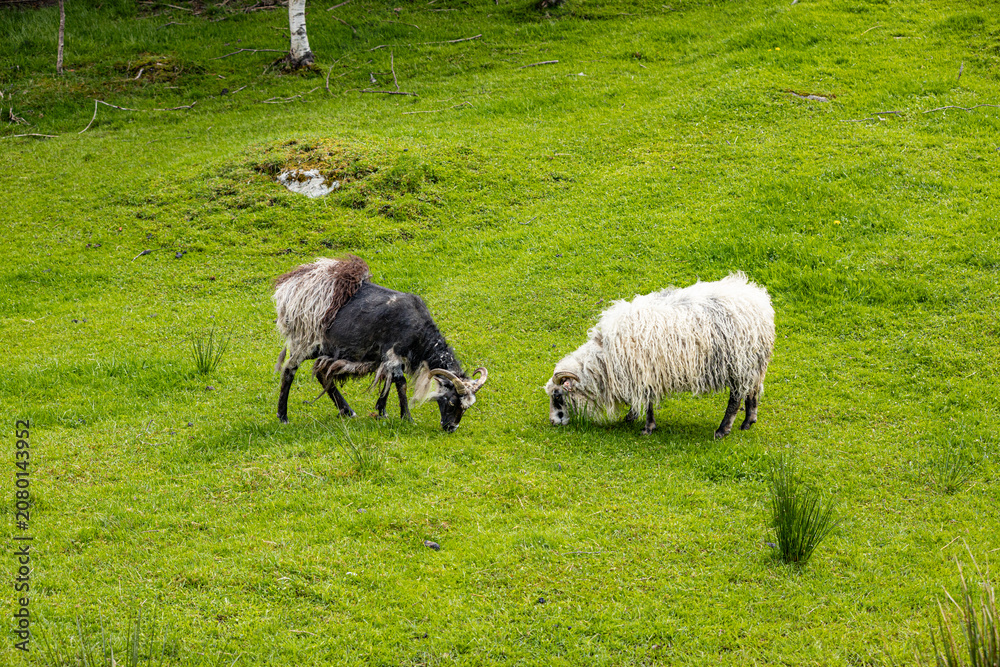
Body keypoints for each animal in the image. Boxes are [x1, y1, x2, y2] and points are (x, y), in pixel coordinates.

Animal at [544, 272, 775, 439]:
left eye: (557, 395)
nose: (553, 422)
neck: (604, 361)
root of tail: (759, 300)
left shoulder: (644, 373)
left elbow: (647, 403)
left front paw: (647, 427)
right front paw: (631, 416)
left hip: (738, 363)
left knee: (735, 399)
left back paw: (723, 430)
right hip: (752, 364)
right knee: (752, 392)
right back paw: (748, 422)